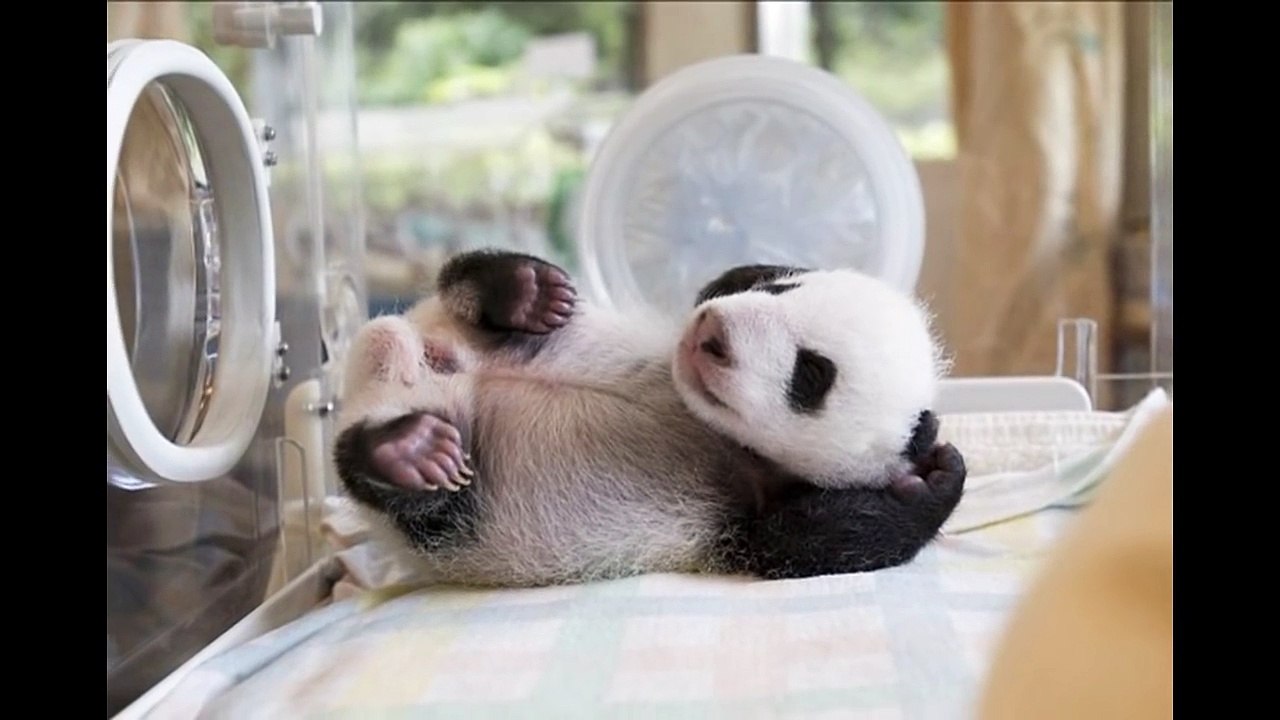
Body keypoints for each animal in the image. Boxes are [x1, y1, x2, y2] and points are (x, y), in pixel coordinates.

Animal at [333, 250, 966, 587]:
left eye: (811, 373)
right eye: (782, 289)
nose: (712, 333)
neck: (714, 432)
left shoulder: (746, 509)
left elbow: (800, 545)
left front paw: (938, 474)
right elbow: (719, 278)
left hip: (462, 514)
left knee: (409, 495)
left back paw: (411, 452)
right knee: (464, 276)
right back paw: (523, 293)